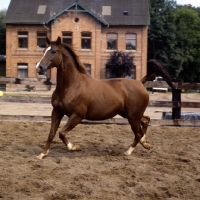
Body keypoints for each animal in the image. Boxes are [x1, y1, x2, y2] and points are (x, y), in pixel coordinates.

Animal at [36, 36, 175, 159]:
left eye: (53, 51)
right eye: (44, 50)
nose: (39, 67)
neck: (72, 85)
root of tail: (140, 82)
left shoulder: (77, 115)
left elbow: (61, 133)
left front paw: (74, 147)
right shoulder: (57, 111)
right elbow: (52, 133)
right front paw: (42, 154)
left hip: (133, 117)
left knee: (138, 133)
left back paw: (128, 152)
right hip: (128, 113)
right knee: (145, 121)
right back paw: (145, 143)